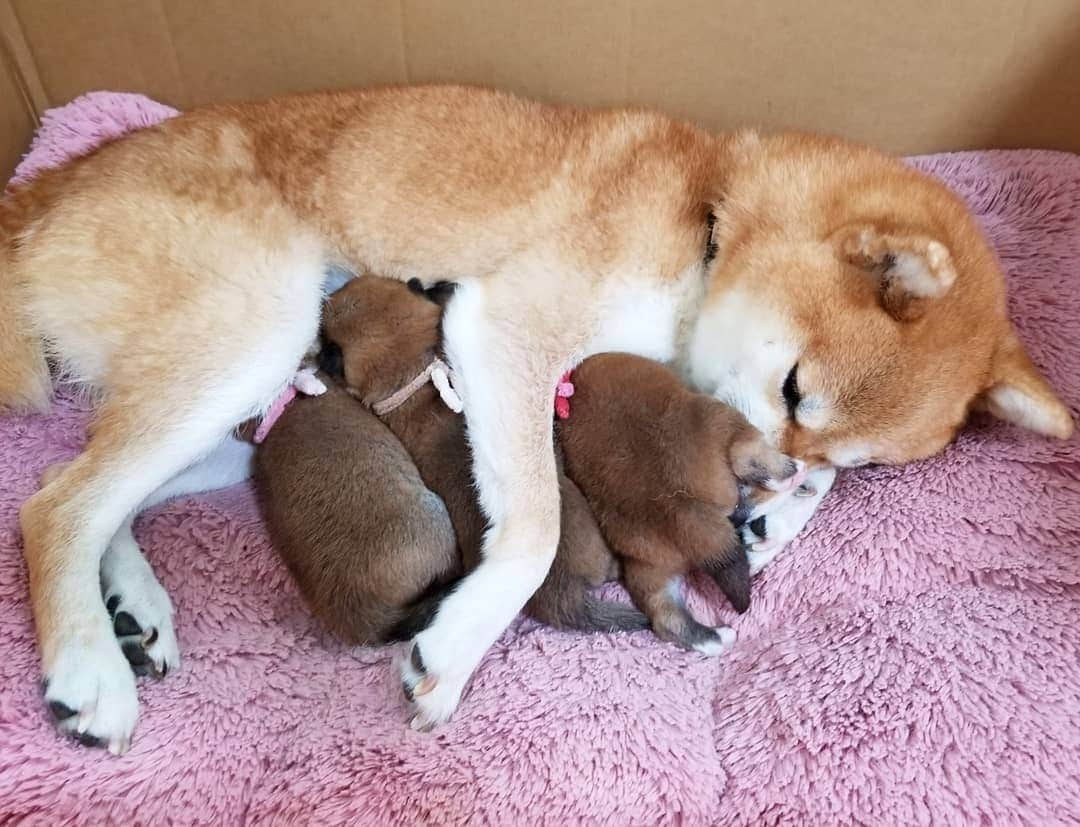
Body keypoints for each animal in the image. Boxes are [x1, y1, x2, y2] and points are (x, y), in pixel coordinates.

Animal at [0, 82, 1071, 751]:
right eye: (797, 387)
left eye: (864, 461)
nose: (754, 501)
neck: (707, 216)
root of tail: (45, 186)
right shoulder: (503, 330)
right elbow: (535, 533)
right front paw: (459, 646)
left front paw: (783, 517)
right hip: (254, 333)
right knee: (55, 505)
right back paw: (92, 667)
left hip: (249, 409)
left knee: (83, 487)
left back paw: (134, 608)